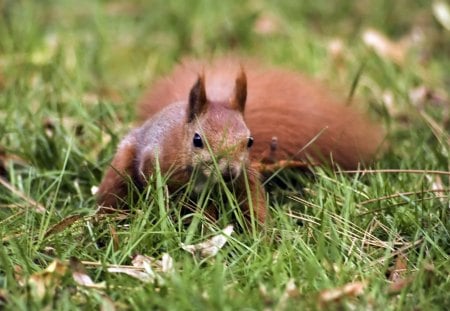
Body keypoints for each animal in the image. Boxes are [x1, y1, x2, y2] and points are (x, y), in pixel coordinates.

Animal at [97, 57, 384, 225]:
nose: (228, 172)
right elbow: (154, 181)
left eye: (250, 141)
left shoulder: (245, 178)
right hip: (121, 166)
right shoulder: (156, 159)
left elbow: (254, 205)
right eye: (197, 140)